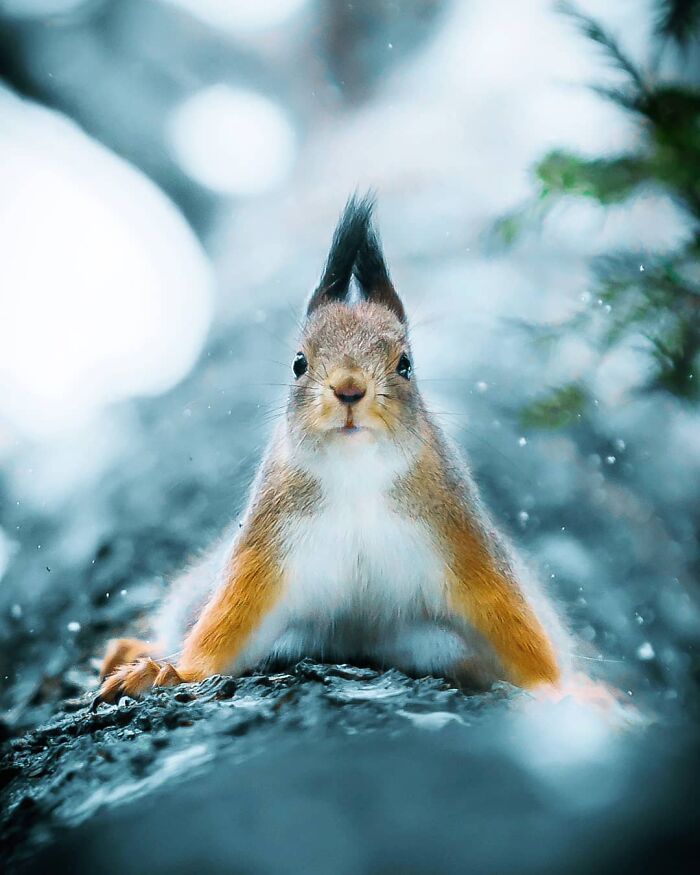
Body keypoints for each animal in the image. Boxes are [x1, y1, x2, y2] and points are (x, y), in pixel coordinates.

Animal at [93, 194, 573, 707]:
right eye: (298, 362)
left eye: (406, 364)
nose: (349, 389)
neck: (356, 474)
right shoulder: (268, 544)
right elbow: (225, 622)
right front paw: (172, 673)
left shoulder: (461, 537)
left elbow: (511, 620)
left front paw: (572, 693)